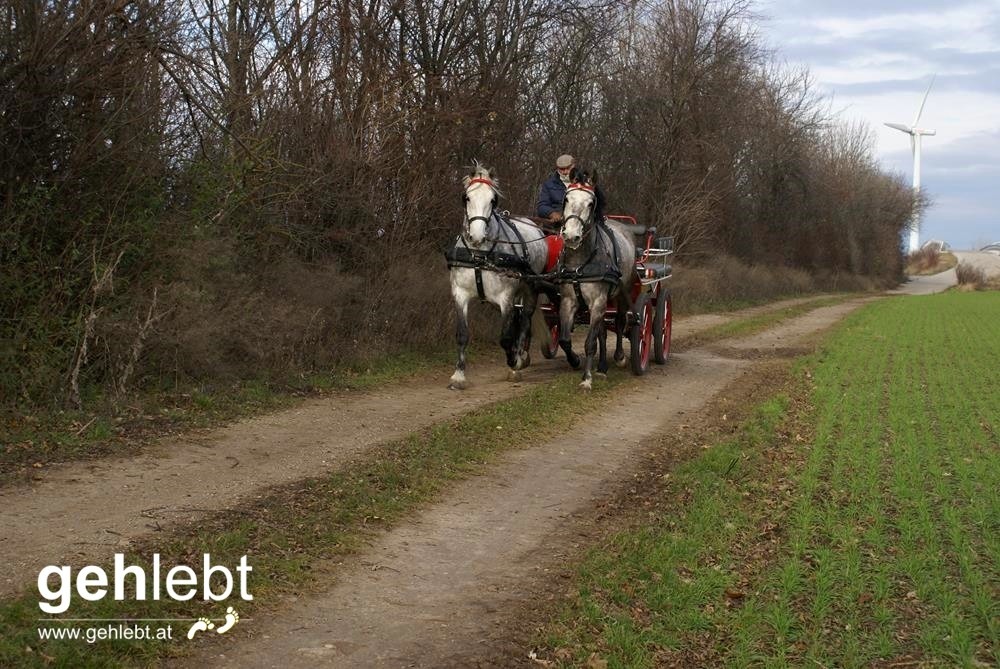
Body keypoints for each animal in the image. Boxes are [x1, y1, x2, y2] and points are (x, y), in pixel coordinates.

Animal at [450, 164, 552, 388]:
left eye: (493, 200)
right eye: (466, 197)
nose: (477, 236)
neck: (479, 255)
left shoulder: (505, 297)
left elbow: (505, 337)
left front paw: (514, 362)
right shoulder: (460, 294)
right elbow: (462, 334)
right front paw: (458, 375)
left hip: (529, 289)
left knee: (525, 321)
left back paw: (520, 356)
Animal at [560, 172, 636, 392]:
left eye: (590, 203)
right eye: (566, 199)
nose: (571, 236)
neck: (579, 263)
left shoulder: (597, 302)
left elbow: (589, 343)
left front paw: (586, 379)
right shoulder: (568, 301)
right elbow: (565, 339)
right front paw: (576, 361)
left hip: (622, 293)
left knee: (620, 322)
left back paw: (619, 357)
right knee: (602, 330)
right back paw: (602, 367)